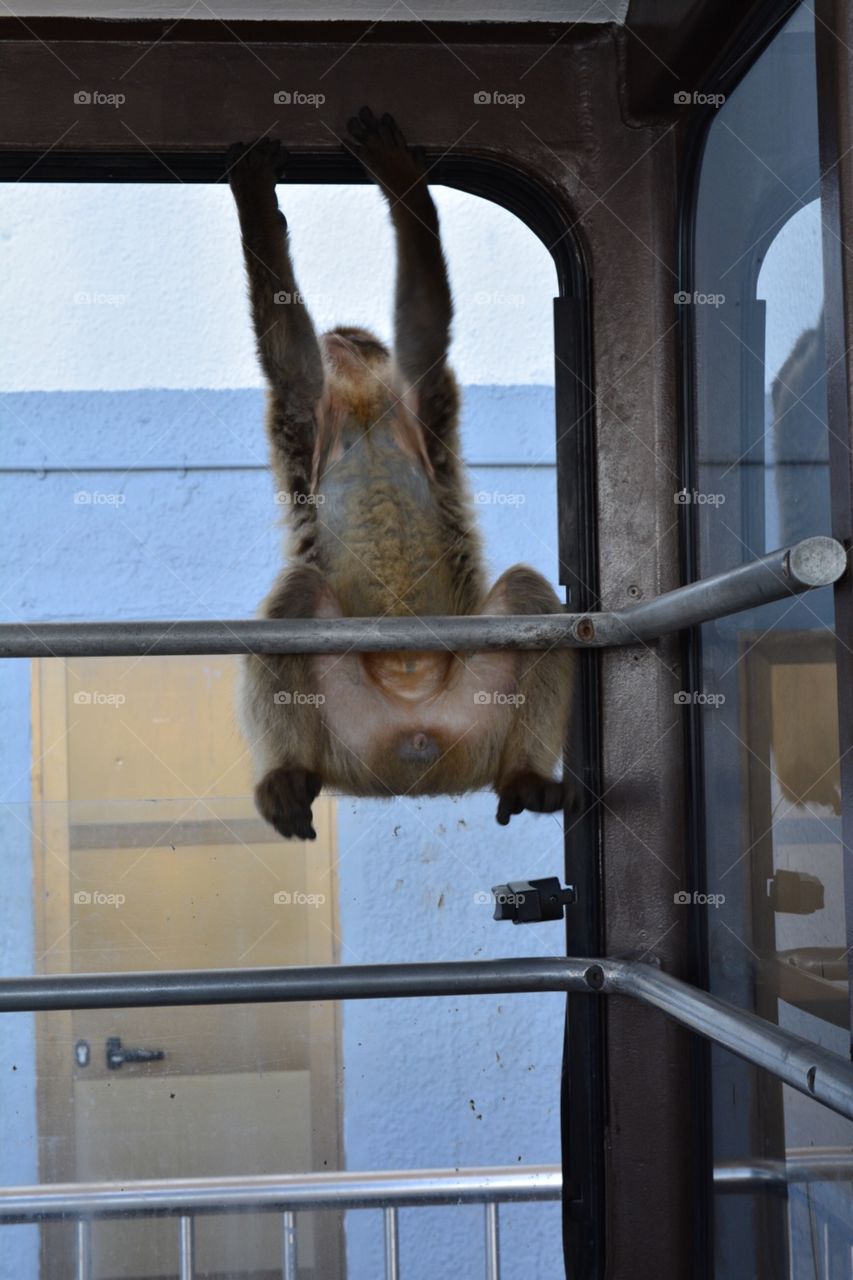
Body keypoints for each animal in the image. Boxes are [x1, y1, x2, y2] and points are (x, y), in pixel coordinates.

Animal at [227, 108, 574, 841]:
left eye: (359, 340)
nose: (341, 340)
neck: (362, 413)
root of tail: (414, 736)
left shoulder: (419, 405)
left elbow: (422, 330)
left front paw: (400, 182)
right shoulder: (307, 418)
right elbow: (292, 358)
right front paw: (256, 199)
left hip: (472, 714)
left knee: (526, 594)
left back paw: (525, 775)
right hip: (345, 728)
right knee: (296, 597)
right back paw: (285, 774)